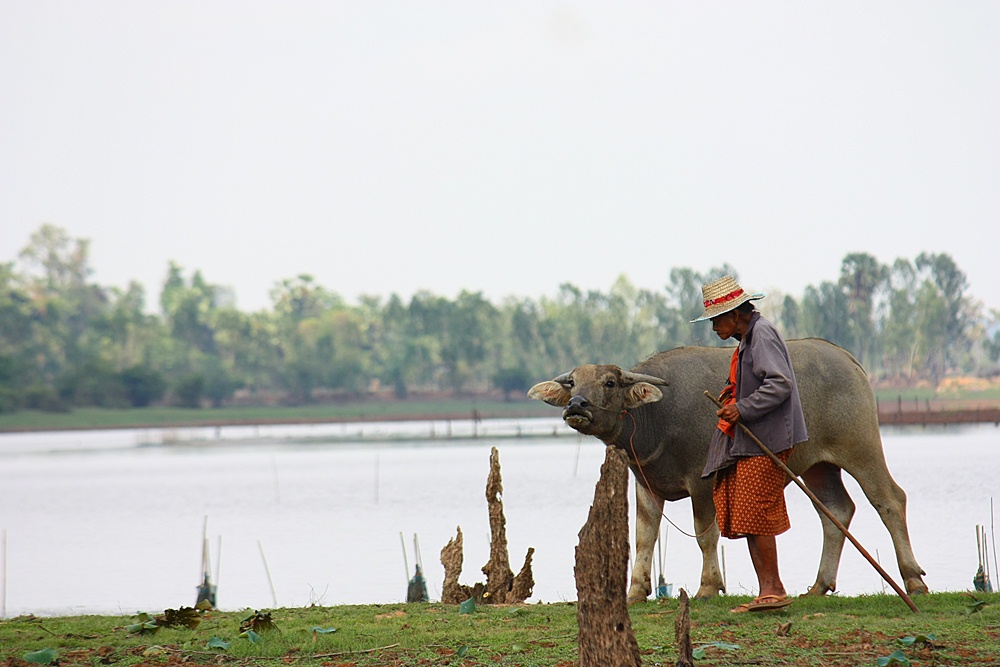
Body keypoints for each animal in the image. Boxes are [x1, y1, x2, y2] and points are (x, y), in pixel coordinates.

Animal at [532, 336, 928, 604]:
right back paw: (818, 586)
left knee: (889, 500)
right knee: (836, 511)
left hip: (861, 448)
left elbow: (705, 534)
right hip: (819, 466)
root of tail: (847, 359)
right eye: (573, 383)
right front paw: (636, 590)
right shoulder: (645, 485)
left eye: (610, 383)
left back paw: (914, 580)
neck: (655, 417)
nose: (576, 405)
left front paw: (708, 586)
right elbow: (644, 536)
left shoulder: (701, 481)